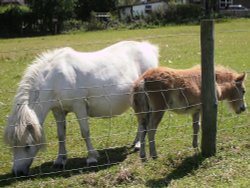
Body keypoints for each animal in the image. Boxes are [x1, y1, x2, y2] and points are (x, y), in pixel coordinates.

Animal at [3, 40, 158, 176]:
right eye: (12, 146)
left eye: (27, 145)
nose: (17, 173)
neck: (55, 80)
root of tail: (148, 48)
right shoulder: (58, 111)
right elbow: (61, 135)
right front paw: (60, 160)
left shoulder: (79, 106)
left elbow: (85, 132)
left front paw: (91, 158)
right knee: (140, 122)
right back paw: (136, 142)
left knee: (143, 122)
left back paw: (138, 144)